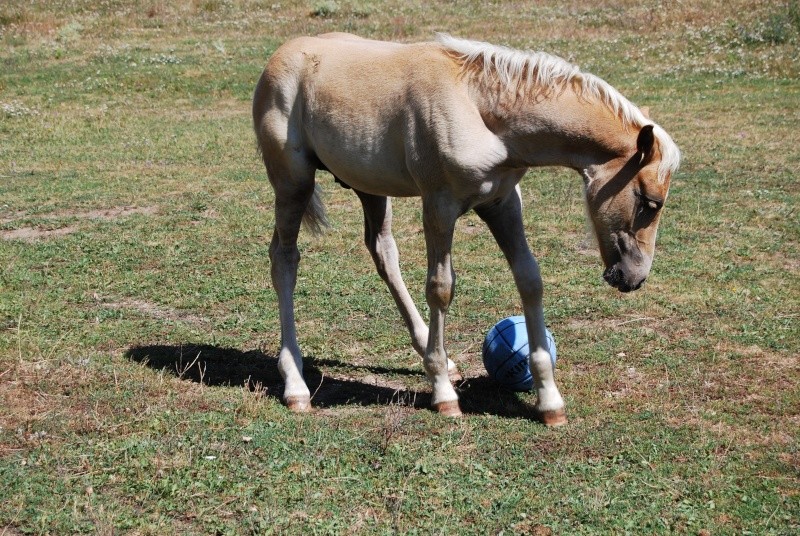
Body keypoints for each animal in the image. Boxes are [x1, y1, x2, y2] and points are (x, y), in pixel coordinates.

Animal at [253, 33, 680, 428]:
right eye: (650, 202)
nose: (634, 277)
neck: (479, 107)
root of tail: (281, 54)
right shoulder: (439, 206)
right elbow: (441, 287)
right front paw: (444, 394)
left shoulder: (503, 203)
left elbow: (530, 279)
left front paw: (549, 400)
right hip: (293, 183)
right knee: (284, 259)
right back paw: (296, 385)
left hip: (369, 186)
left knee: (383, 253)